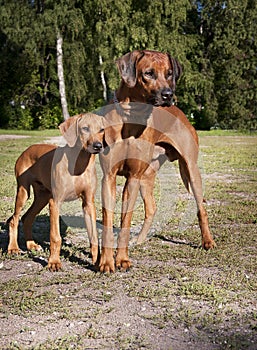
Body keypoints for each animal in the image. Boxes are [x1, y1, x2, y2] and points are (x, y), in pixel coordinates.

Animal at [8, 113, 104, 270]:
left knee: (27, 217)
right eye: (85, 128)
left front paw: (97, 262)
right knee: (14, 219)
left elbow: (94, 237)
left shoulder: (88, 203)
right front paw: (53, 262)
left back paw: (31, 245)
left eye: (102, 130)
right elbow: (55, 236)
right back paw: (13, 248)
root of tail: (28, 149)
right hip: (23, 191)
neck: (79, 163)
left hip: (42, 196)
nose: (98, 146)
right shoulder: (55, 202)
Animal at [97, 50, 215, 274]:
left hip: (190, 170)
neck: (132, 117)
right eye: (148, 73)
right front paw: (106, 262)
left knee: (201, 208)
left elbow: (125, 221)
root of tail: (180, 112)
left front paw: (122, 259)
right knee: (151, 209)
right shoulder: (109, 177)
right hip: (147, 177)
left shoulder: (133, 179)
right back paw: (140, 240)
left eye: (169, 73)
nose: (169, 95)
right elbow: (108, 220)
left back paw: (208, 242)